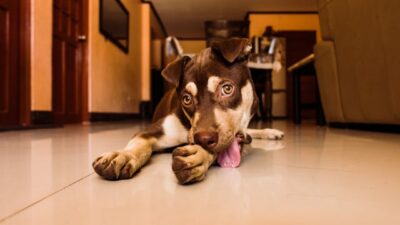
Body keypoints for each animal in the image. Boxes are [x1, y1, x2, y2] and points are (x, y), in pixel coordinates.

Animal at [92, 37, 282, 184]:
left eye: (227, 89)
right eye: (186, 99)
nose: (203, 139)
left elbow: (218, 148)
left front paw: (197, 156)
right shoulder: (150, 131)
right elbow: (139, 144)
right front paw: (122, 155)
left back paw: (270, 132)